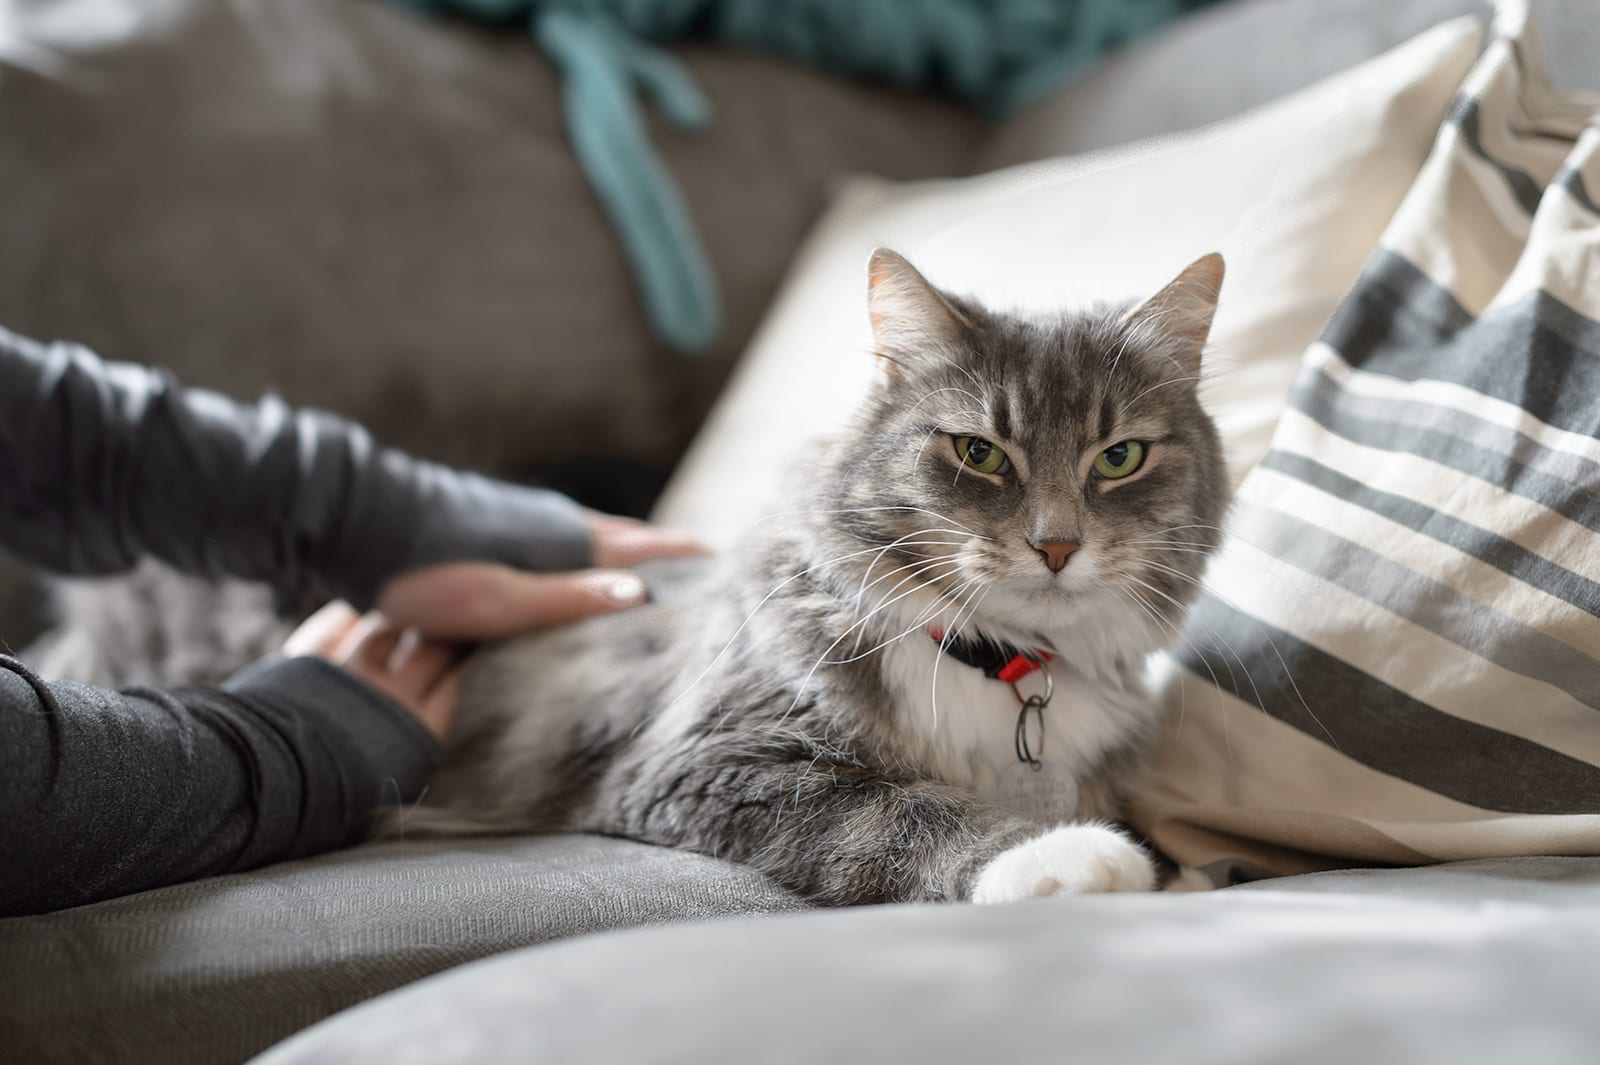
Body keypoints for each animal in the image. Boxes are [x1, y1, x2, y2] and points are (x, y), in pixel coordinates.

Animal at [396, 249, 1222, 901]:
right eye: (979, 452)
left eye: (1119, 458)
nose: (1055, 546)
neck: (996, 658)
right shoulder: (712, 759)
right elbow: (896, 813)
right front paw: (1060, 853)